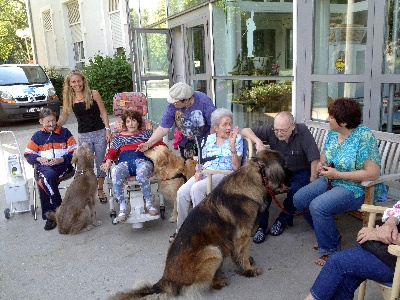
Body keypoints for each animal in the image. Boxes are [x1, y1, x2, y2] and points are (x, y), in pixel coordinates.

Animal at [111, 149, 290, 298]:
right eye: (285, 165)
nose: (294, 177)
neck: (255, 175)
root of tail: (166, 279)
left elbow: (239, 252)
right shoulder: (243, 233)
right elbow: (243, 253)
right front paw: (248, 269)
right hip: (213, 251)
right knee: (201, 285)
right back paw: (219, 281)